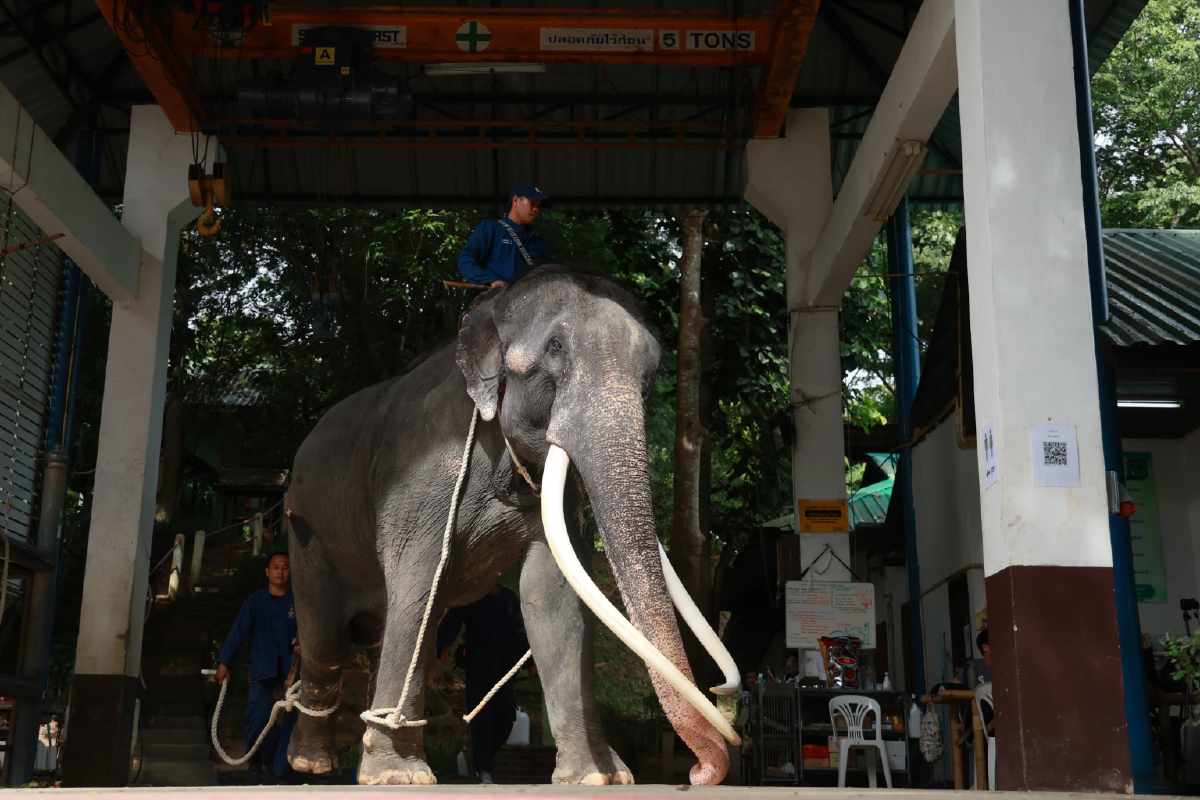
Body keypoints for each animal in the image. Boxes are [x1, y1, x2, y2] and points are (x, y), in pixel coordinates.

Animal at [280, 266, 739, 786]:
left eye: (652, 373)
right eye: (556, 348)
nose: (699, 773)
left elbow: (551, 597)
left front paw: (597, 778)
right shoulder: (419, 483)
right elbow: (420, 585)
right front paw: (398, 778)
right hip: (307, 531)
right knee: (325, 639)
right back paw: (312, 764)